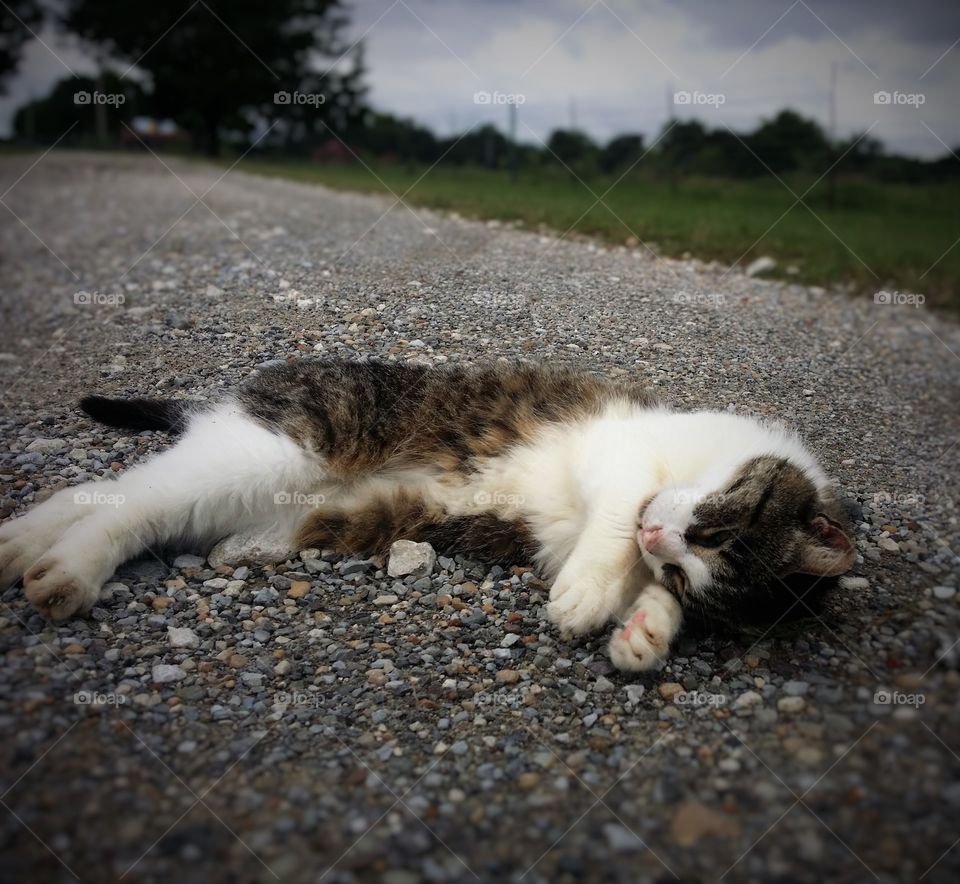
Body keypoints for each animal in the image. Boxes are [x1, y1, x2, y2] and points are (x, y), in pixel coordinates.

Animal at [0, 360, 856, 668]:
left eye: (688, 571)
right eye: (712, 529)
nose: (659, 537)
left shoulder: (567, 536)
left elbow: (623, 574)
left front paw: (644, 630)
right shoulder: (617, 455)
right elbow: (613, 515)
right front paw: (585, 598)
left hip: (244, 496)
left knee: (117, 499)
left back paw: (23, 544)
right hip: (278, 447)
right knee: (131, 501)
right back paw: (66, 570)